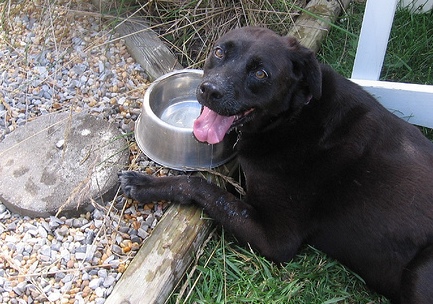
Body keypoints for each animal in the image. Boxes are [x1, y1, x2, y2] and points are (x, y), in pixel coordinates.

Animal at [118, 27, 432, 302]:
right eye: (219, 51)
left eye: (260, 73)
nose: (209, 90)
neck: (294, 115)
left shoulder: (277, 239)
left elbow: (200, 185)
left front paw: (145, 184)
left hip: (420, 272)